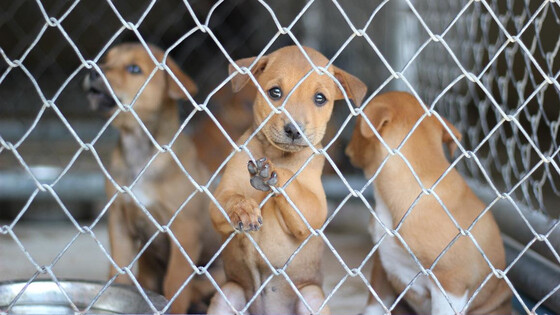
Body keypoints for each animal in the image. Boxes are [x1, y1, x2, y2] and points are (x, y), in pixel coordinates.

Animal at [82, 43, 221, 314]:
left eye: (134, 69)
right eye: (106, 60)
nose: (94, 71)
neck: (138, 150)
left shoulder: (184, 229)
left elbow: (175, 285)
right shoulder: (119, 220)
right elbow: (119, 270)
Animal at [206, 45, 368, 314]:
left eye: (320, 98)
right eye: (275, 92)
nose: (293, 130)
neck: (277, 153)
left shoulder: (315, 211)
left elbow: (292, 183)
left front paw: (272, 172)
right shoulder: (220, 198)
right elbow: (232, 198)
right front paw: (244, 210)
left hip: (311, 297)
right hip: (228, 293)